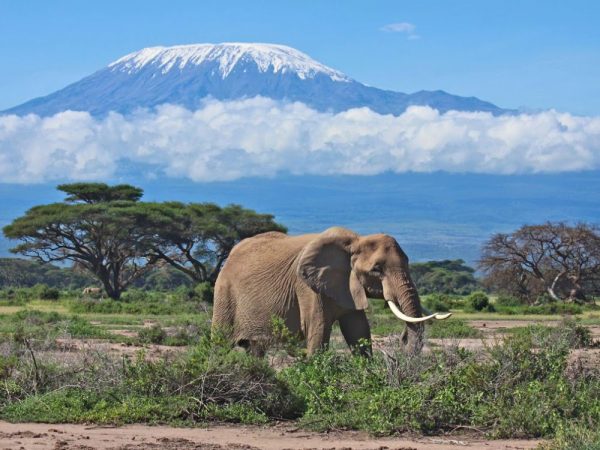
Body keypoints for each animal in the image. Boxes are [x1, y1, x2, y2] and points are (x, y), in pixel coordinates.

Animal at [211, 227, 450, 356]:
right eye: (377, 269)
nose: (402, 338)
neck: (355, 242)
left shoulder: (347, 286)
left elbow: (359, 332)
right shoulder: (306, 287)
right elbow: (317, 331)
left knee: (255, 349)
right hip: (223, 293)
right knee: (219, 343)